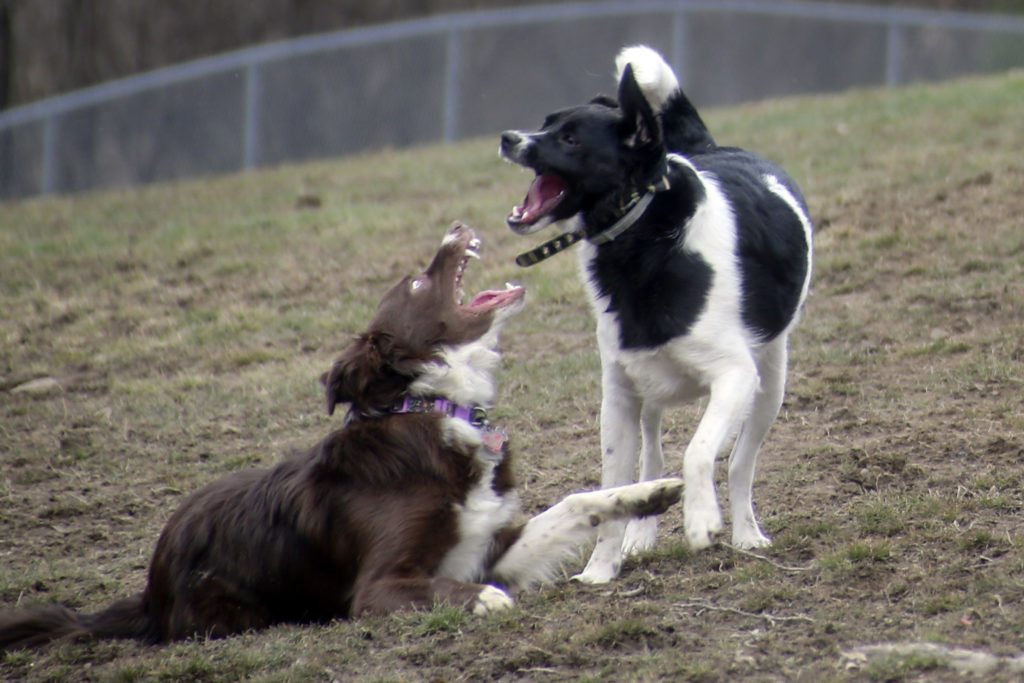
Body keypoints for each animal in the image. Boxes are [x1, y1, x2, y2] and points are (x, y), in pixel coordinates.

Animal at [499, 45, 811, 585]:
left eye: (570, 138)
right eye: (545, 123)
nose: (508, 138)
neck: (643, 235)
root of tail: (713, 147)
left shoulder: (734, 376)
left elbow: (700, 451)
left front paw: (702, 520)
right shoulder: (619, 398)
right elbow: (611, 491)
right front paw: (601, 570)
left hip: (768, 384)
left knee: (740, 463)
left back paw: (746, 534)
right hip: (648, 395)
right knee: (652, 455)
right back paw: (640, 537)